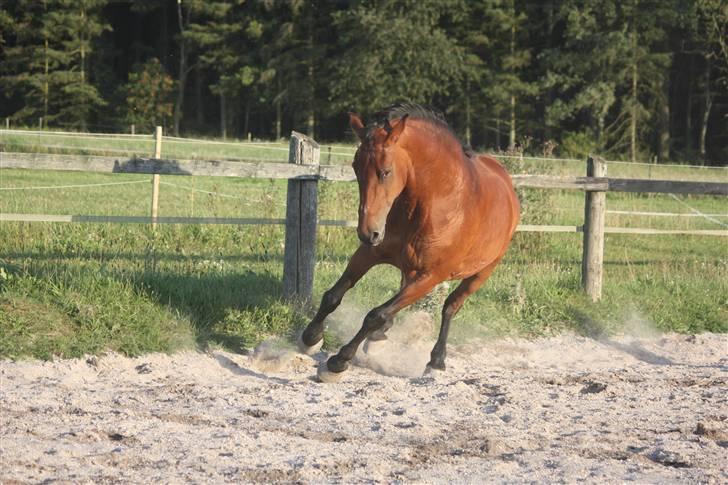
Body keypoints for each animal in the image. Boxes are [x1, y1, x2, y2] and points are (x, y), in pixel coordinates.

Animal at [298, 103, 520, 382]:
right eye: (355, 167)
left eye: (386, 171)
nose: (368, 232)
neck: (437, 204)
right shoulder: (370, 254)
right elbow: (333, 296)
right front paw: (310, 338)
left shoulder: (430, 277)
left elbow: (376, 314)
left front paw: (337, 362)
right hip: (409, 269)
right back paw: (379, 338)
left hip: (480, 273)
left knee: (450, 307)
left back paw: (436, 361)